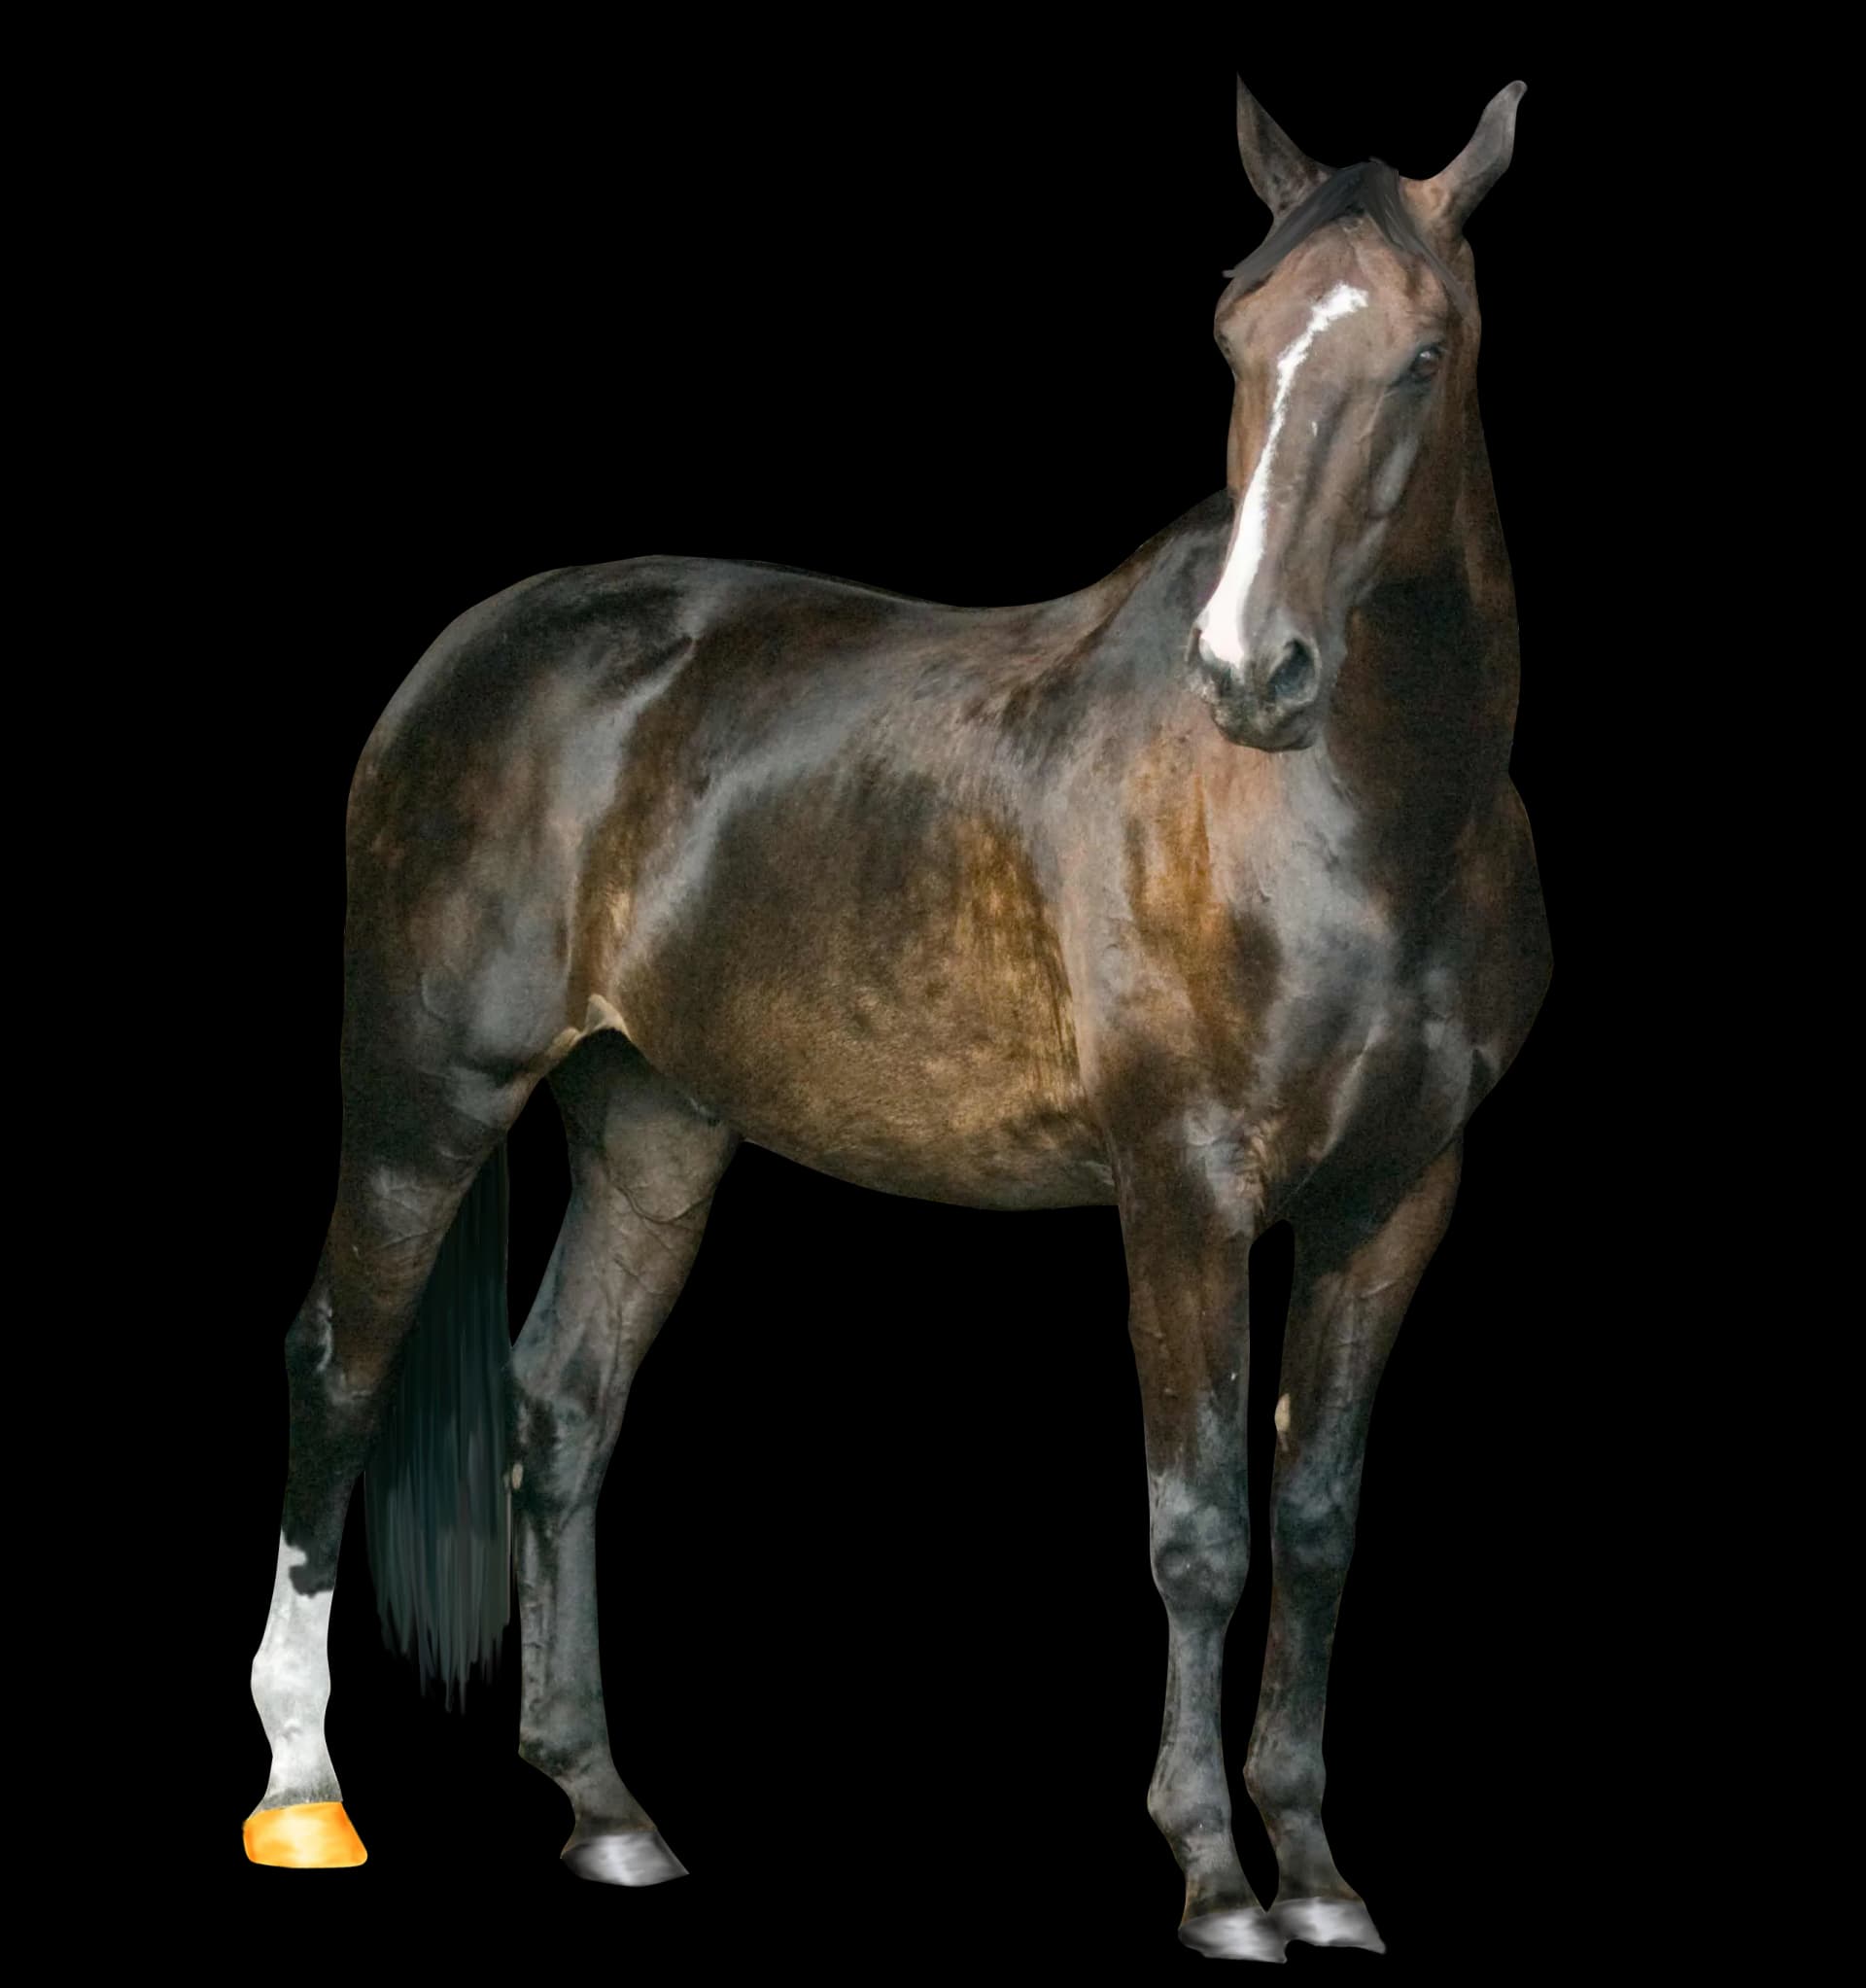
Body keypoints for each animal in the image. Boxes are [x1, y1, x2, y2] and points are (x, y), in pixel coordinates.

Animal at [243, 75, 1550, 1963]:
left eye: (1425, 350)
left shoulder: (1397, 1201)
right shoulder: (1184, 1191)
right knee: (337, 1367)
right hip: (427, 1096)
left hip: (651, 1125)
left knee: (564, 1403)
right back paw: (301, 1792)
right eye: (1234, 335)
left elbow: (1314, 1526)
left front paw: (1318, 1876)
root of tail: (469, 658)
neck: (1363, 829)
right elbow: (1201, 1530)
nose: (1252, 671)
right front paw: (1219, 1884)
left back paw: (608, 1811)